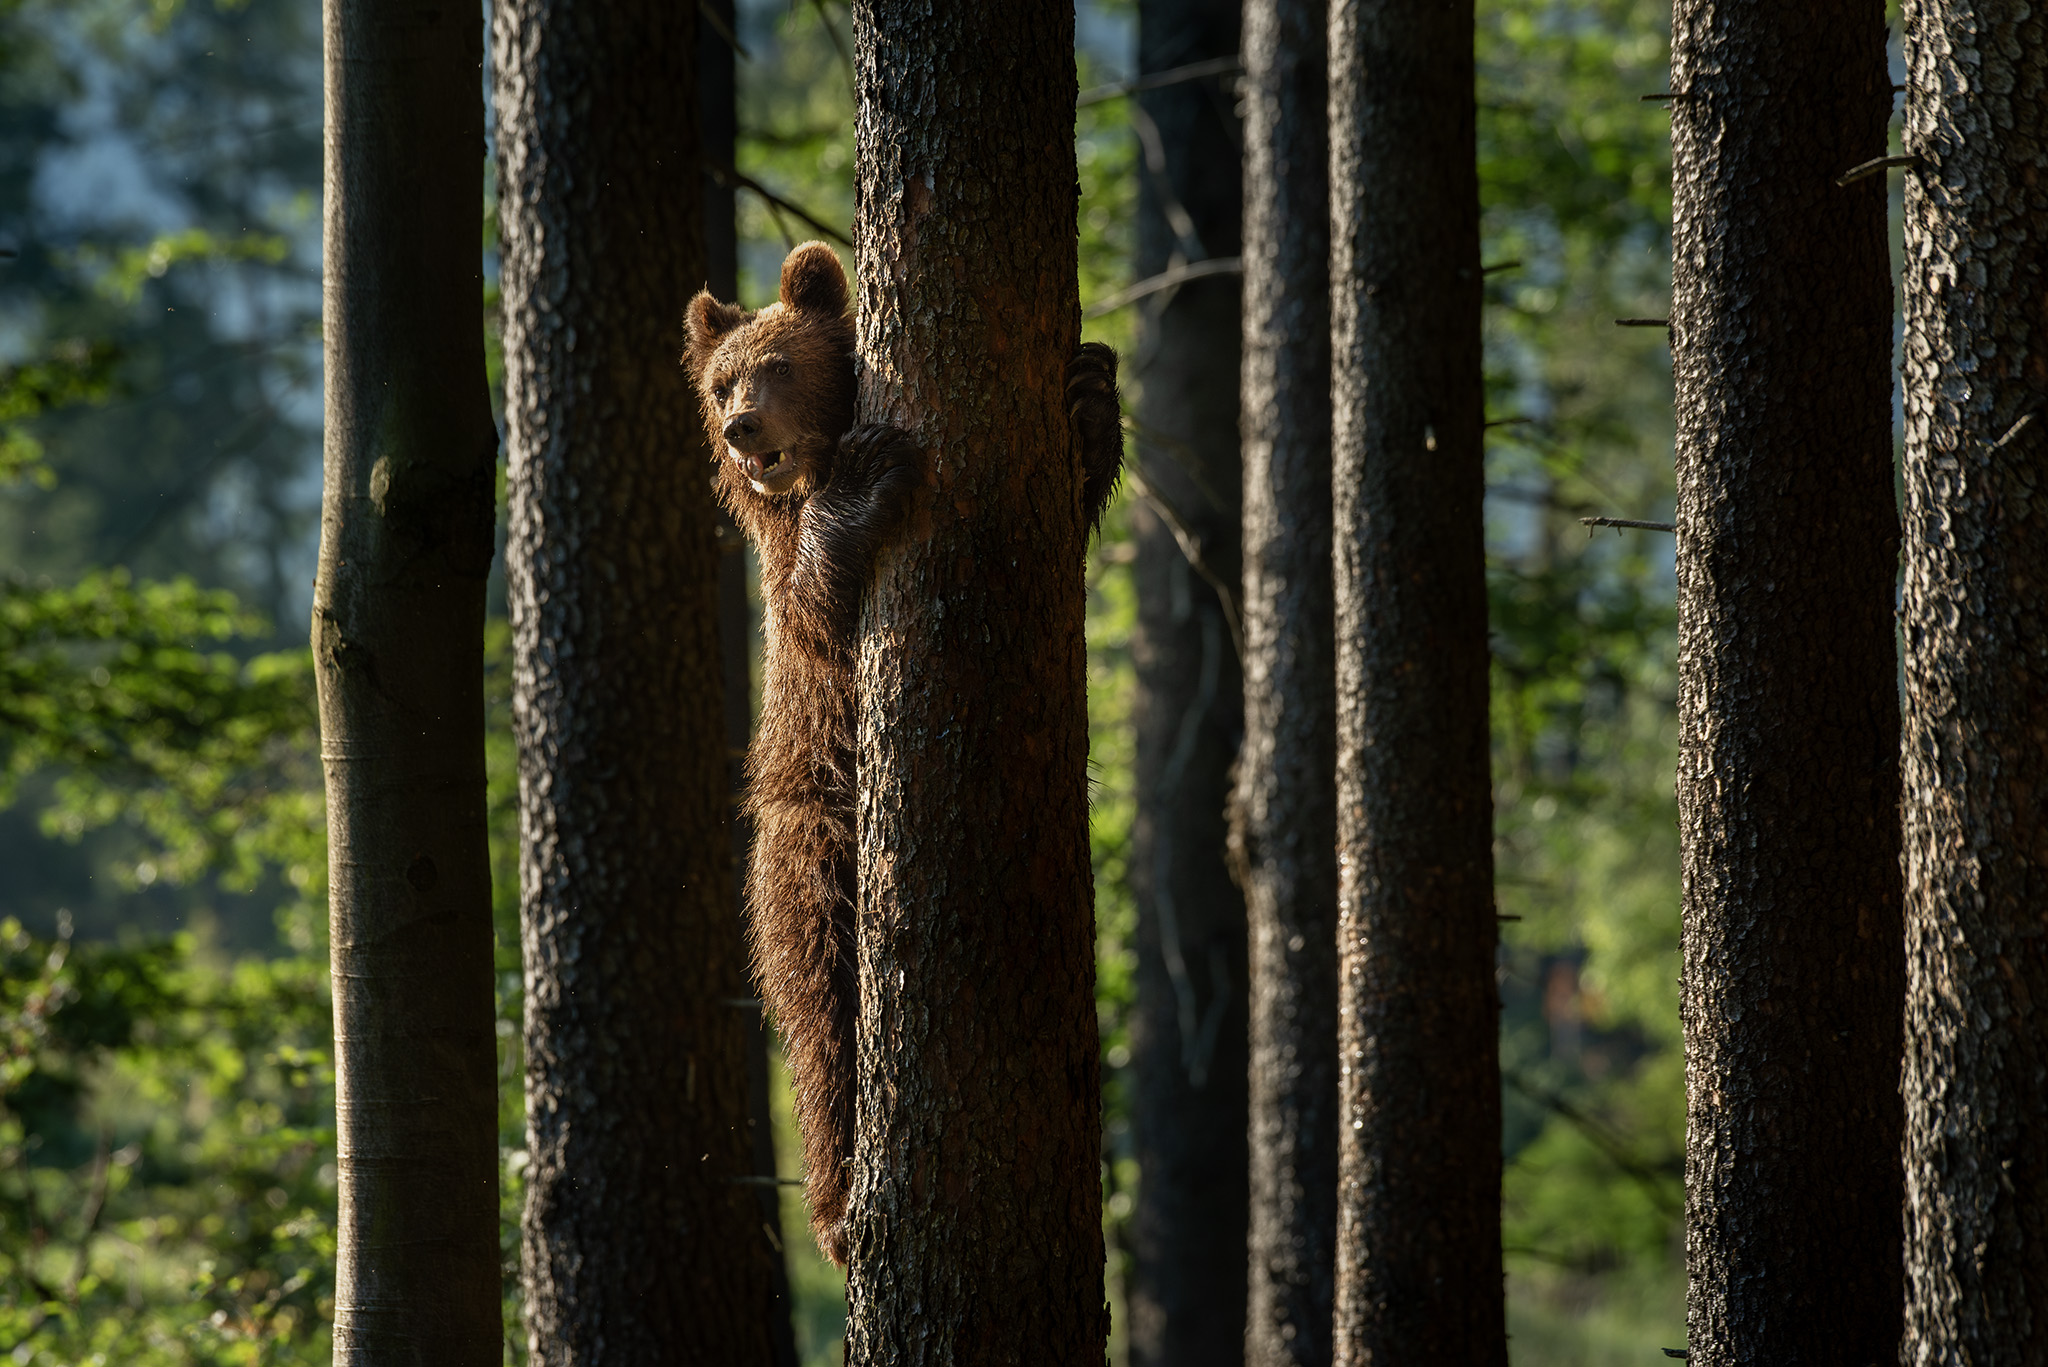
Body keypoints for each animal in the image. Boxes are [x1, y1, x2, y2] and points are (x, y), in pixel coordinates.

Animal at [688, 240, 1122, 1270]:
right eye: (723, 380)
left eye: (779, 365)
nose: (740, 426)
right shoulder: (799, 631)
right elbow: (817, 606)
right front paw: (868, 476)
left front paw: (1091, 389)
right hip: (804, 850)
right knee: (820, 1015)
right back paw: (841, 1207)